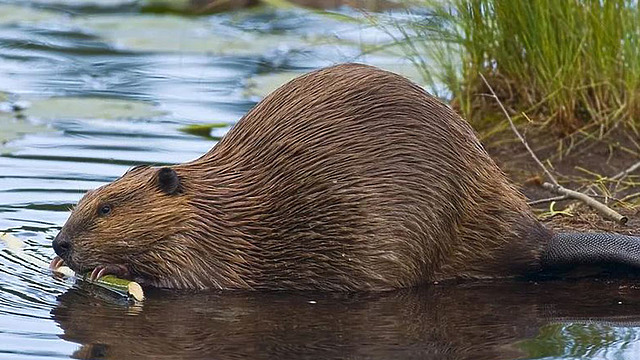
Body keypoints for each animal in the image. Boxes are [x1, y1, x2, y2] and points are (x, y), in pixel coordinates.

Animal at [52, 63, 640, 292]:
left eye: (106, 207)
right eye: (87, 198)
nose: (60, 243)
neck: (213, 205)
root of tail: (540, 236)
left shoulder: (210, 246)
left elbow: (191, 279)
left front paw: (104, 271)